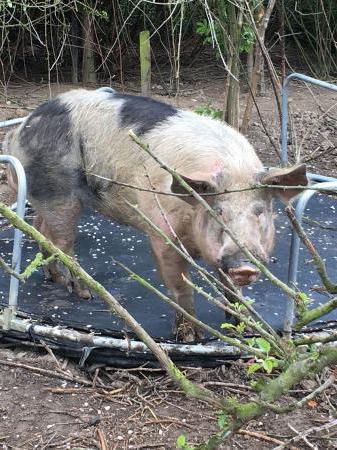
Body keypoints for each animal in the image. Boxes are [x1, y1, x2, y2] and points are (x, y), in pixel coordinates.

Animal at [4, 89, 308, 342]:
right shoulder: (162, 233)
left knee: (40, 228)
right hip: (58, 194)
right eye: (218, 211)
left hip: (46, 198)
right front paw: (190, 338)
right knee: (63, 242)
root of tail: (22, 128)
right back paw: (84, 293)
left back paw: (53, 278)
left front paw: (242, 327)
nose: (244, 264)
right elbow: (180, 287)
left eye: (260, 211)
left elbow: (232, 291)